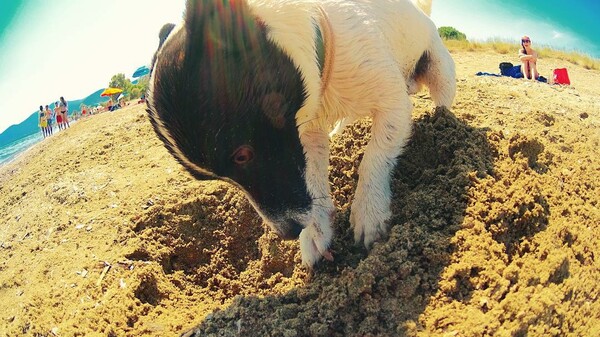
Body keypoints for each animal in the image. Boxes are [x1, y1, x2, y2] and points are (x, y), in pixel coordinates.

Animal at [148, 0, 458, 268]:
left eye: (242, 155)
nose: (289, 232)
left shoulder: (393, 104)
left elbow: (374, 158)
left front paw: (368, 212)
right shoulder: (305, 137)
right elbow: (314, 179)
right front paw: (316, 231)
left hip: (439, 71)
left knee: (441, 98)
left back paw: (445, 125)